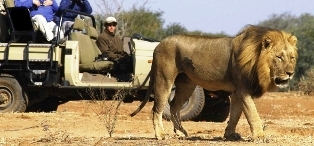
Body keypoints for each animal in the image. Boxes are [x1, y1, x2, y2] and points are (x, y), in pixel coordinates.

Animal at [131, 24, 298, 140]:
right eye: (279, 57)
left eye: (292, 58)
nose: (290, 73)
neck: (258, 62)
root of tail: (158, 45)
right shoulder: (244, 90)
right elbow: (253, 114)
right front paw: (260, 136)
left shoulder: (237, 91)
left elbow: (235, 114)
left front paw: (230, 135)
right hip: (164, 79)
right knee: (157, 109)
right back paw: (160, 134)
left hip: (187, 84)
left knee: (174, 106)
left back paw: (180, 132)